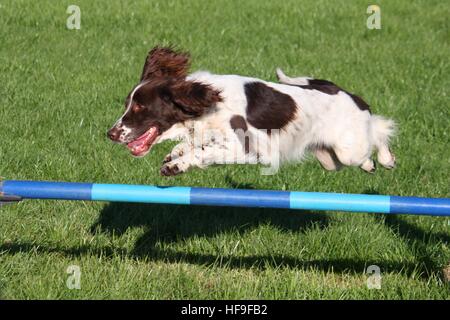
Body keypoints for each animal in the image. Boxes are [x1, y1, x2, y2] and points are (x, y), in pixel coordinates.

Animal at [107, 45, 396, 175]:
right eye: (127, 103)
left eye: (140, 106)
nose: (110, 133)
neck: (211, 105)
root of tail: (343, 91)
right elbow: (197, 145)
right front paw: (176, 153)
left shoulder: (252, 151)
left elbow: (205, 152)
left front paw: (177, 164)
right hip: (330, 158)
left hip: (349, 148)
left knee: (378, 132)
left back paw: (385, 159)